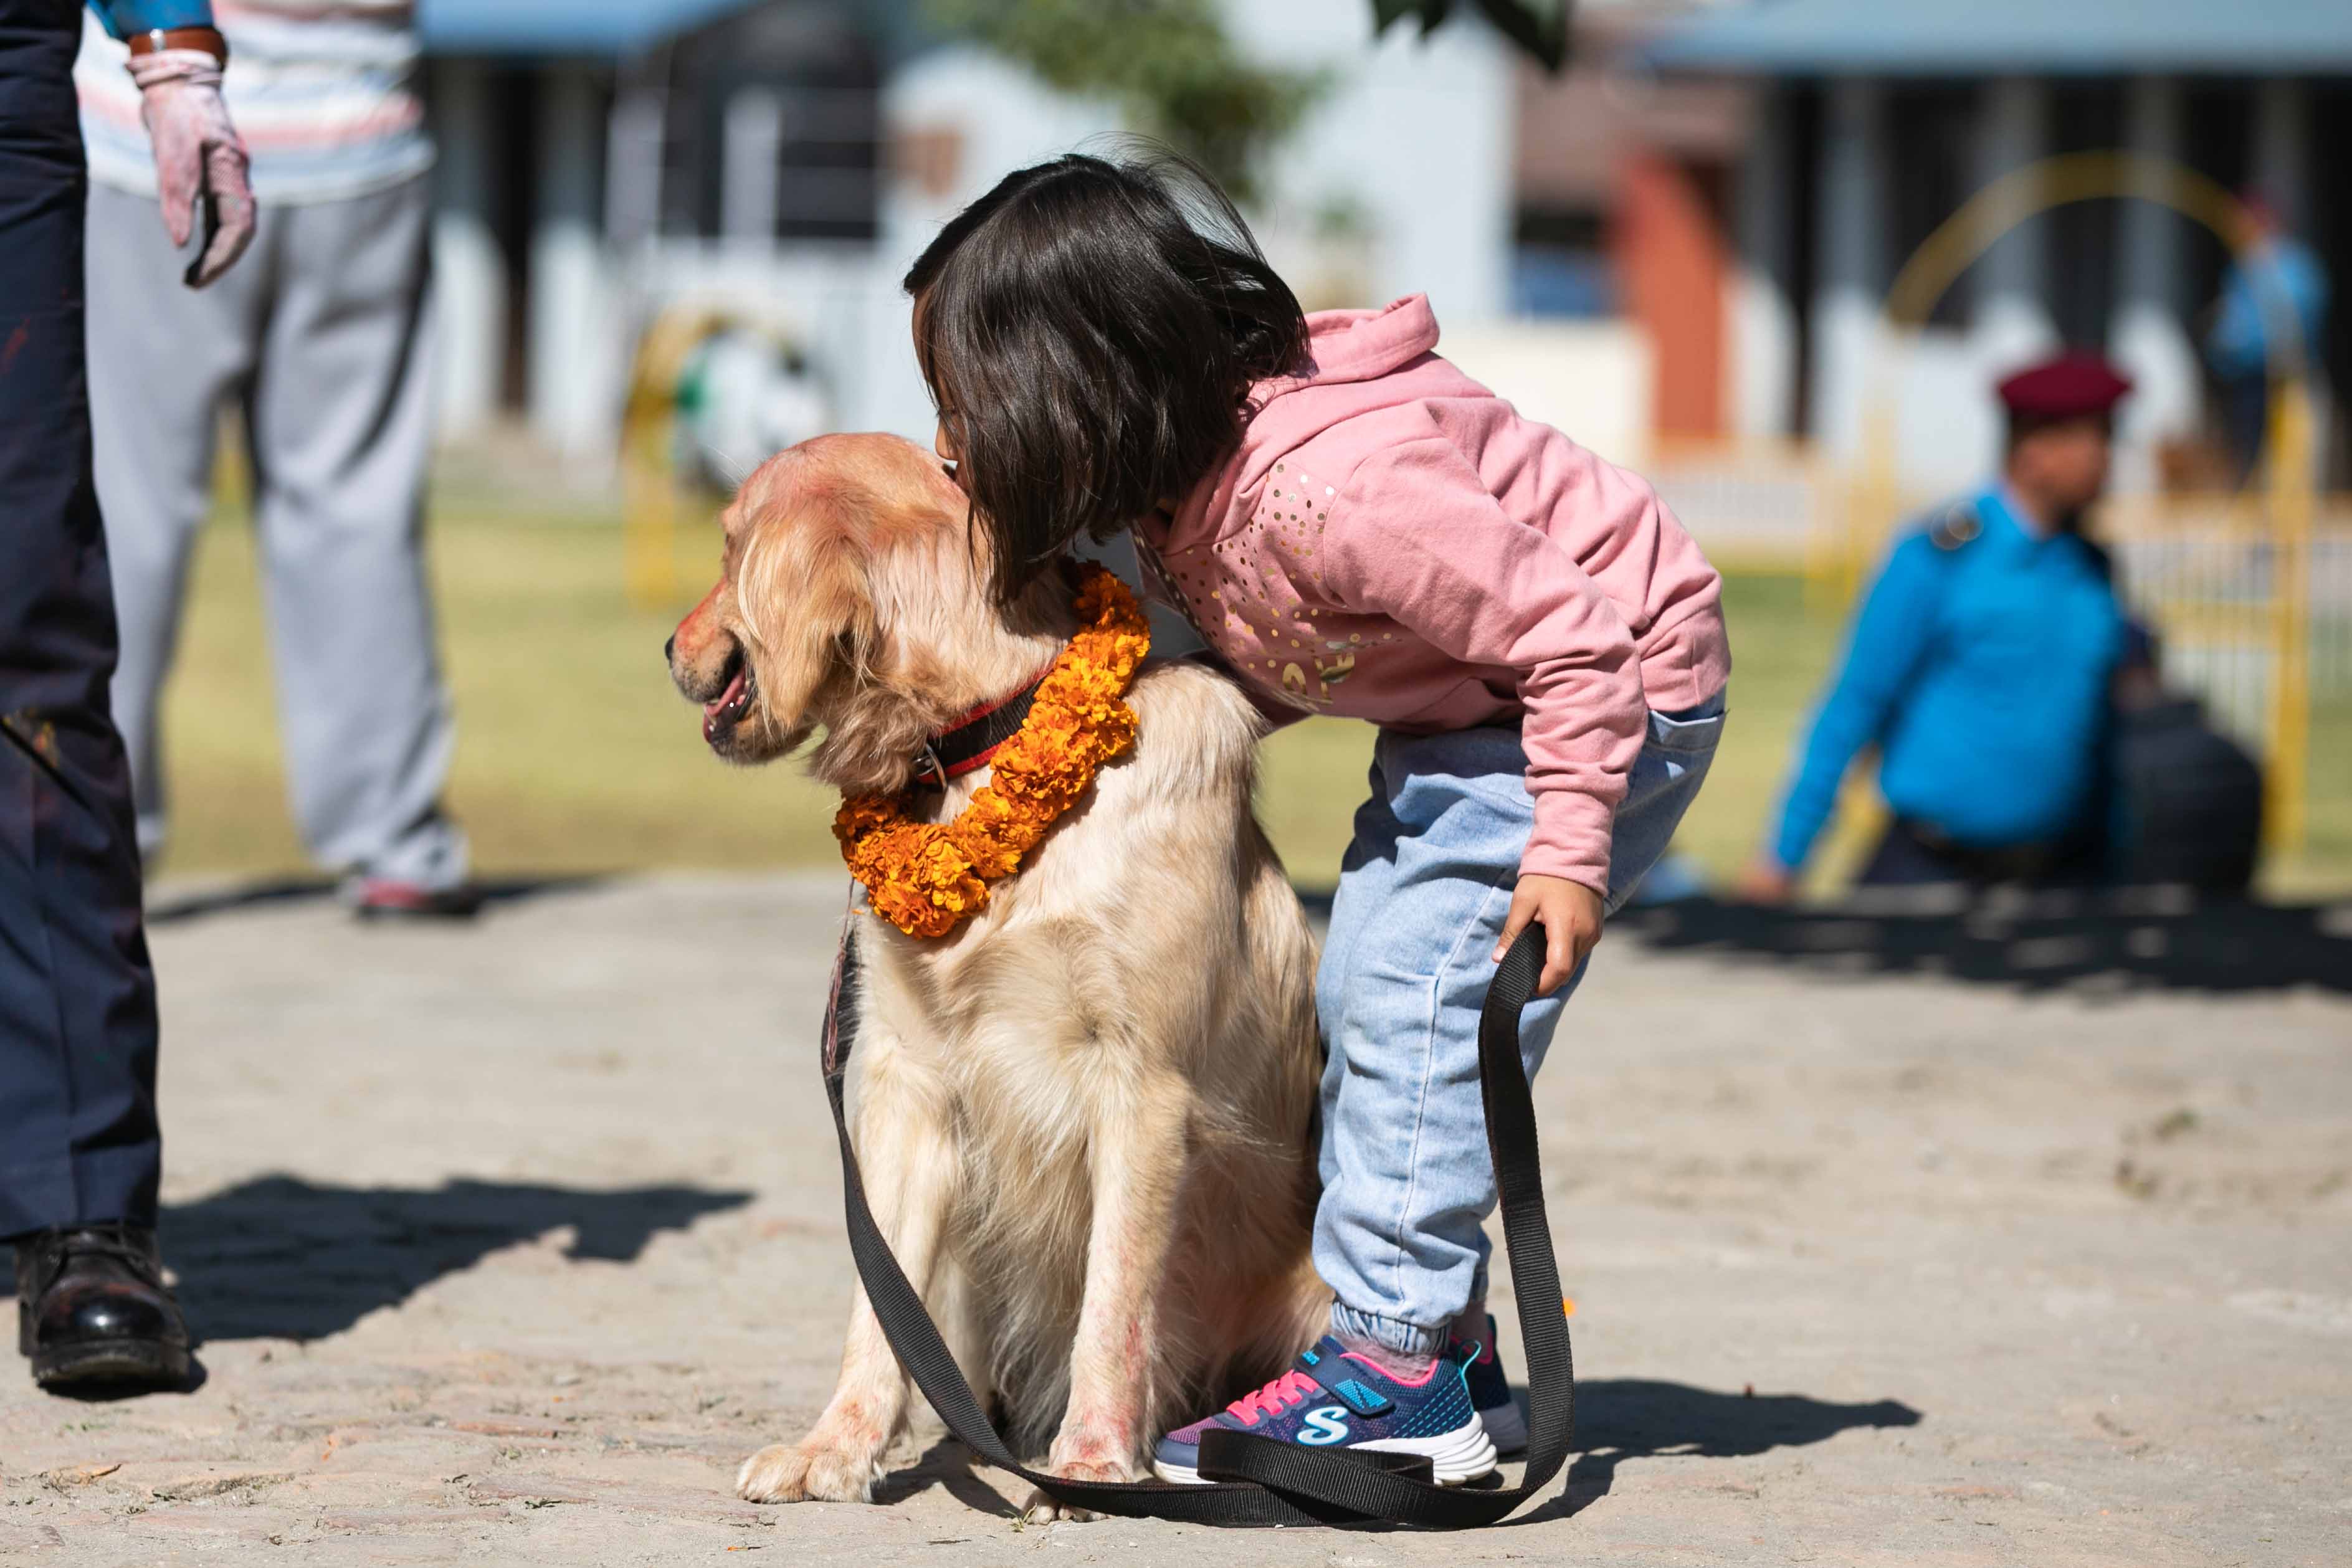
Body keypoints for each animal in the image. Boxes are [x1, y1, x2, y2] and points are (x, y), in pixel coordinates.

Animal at [672, 432, 1336, 1523]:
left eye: (730, 550)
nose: (669, 649)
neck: (985, 746)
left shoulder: (1142, 1086)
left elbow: (1114, 1299)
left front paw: (1092, 1463)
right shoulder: (904, 1075)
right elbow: (880, 1301)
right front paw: (835, 1447)